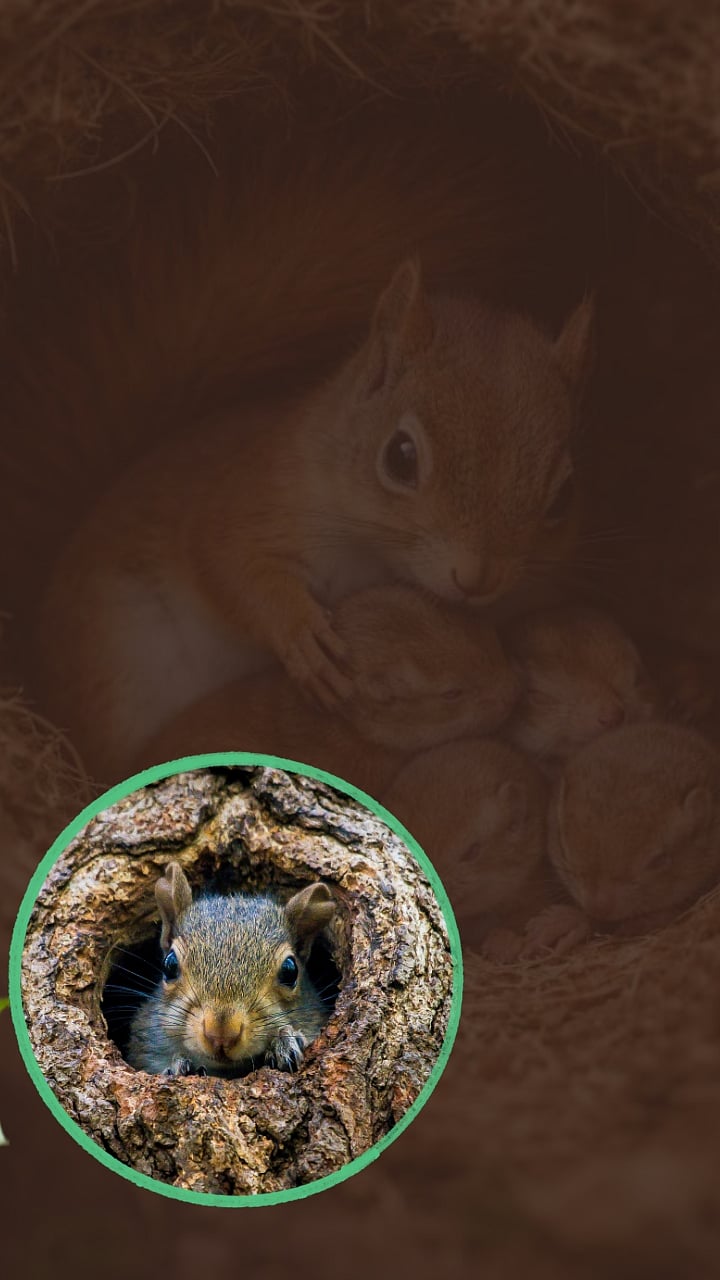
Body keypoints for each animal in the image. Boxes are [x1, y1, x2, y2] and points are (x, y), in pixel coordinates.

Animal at [35, 257, 594, 780]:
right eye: (401, 456)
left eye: (565, 496)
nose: (478, 578)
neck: (375, 557)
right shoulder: (252, 498)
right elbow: (230, 564)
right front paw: (301, 634)